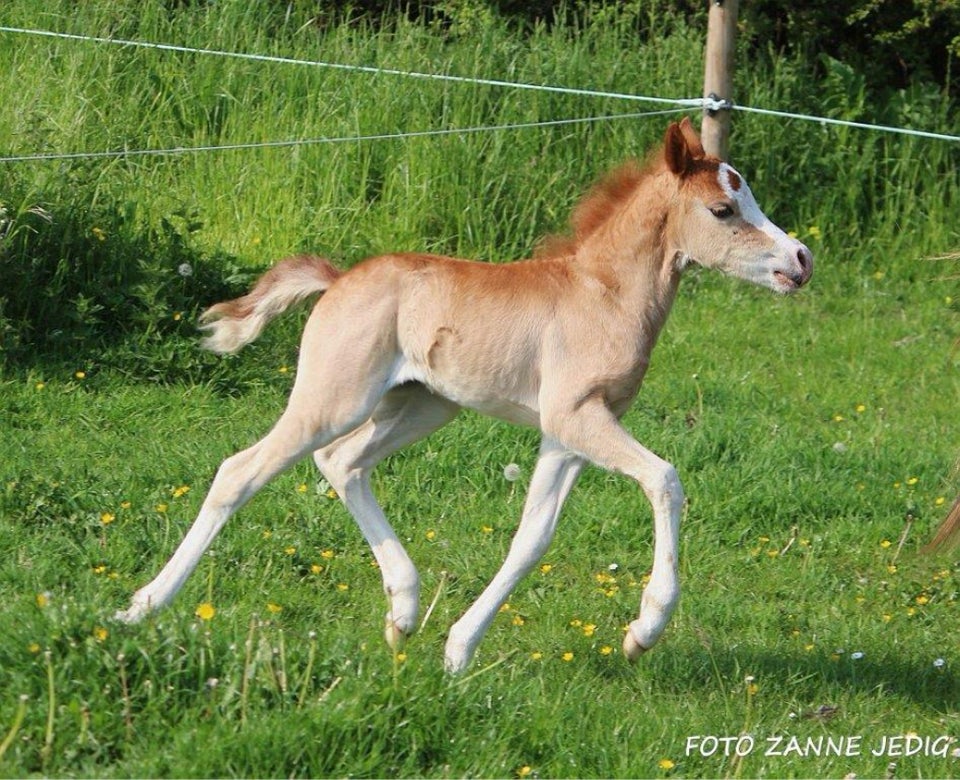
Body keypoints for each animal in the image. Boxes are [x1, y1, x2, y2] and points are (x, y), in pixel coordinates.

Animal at [116, 119, 812, 672]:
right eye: (722, 210)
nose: (801, 260)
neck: (604, 294)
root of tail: (337, 280)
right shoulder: (577, 417)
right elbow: (665, 480)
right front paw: (645, 629)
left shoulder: (566, 436)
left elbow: (532, 538)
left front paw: (458, 650)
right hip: (334, 398)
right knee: (242, 471)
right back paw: (141, 607)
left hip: (421, 404)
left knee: (342, 463)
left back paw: (402, 612)